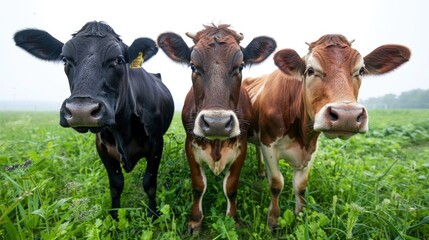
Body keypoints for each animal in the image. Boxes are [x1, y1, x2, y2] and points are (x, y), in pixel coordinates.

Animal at [13, 21, 174, 218]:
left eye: (118, 60)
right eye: (65, 60)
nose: (81, 111)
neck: (123, 130)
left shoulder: (156, 143)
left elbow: (149, 183)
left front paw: (153, 215)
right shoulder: (102, 147)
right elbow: (116, 185)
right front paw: (114, 216)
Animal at [156, 24, 274, 234]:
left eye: (240, 66)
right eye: (193, 66)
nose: (216, 123)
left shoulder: (241, 146)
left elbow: (231, 187)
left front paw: (233, 219)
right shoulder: (190, 145)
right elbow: (198, 186)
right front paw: (195, 221)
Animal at [242, 34, 410, 229]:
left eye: (361, 70)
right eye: (310, 70)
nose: (347, 115)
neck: (300, 135)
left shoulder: (311, 149)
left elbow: (301, 186)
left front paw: (300, 218)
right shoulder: (268, 143)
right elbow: (276, 184)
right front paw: (273, 222)